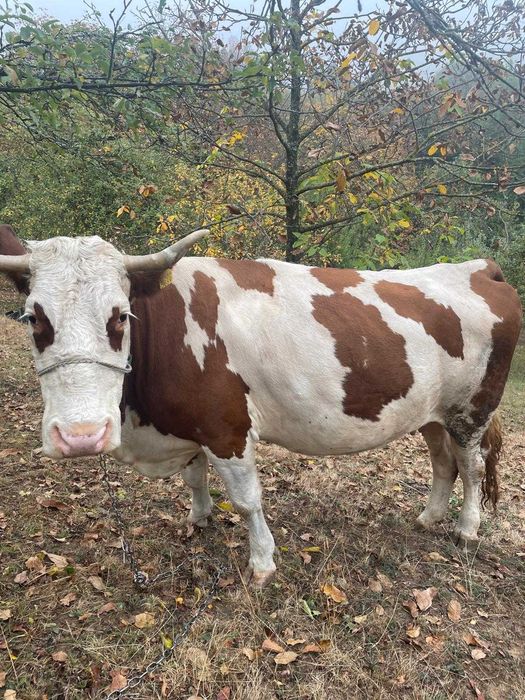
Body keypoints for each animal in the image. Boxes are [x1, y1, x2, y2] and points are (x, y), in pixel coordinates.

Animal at [0, 223, 522, 587]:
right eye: (33, 319)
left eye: (120, 316)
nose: (80, 436)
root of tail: (477, 267)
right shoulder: (193, 426)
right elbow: (194, 477)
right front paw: (199, 518)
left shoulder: (226, 427)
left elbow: (248, 500)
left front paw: (262, 563)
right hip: (430, 412)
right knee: (442, 462)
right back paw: (429, 516)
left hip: (473, 409)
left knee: (472, 466)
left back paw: (466, 528)